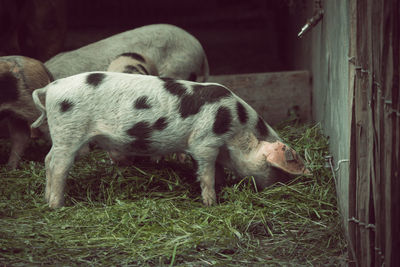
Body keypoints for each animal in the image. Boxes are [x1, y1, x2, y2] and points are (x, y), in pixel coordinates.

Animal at [31, 71, 310, 209]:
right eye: (277, 170)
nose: (277, 188)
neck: (237, 126)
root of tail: (49, 88)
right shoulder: (205, 142)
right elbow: (206, 173)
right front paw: (211, 203)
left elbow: (215, 171)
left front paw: (221, 187)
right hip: (69, 131)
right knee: (58, 166)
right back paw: (57, 206)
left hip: (64, 137)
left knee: (47, 160)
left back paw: (45, 199)